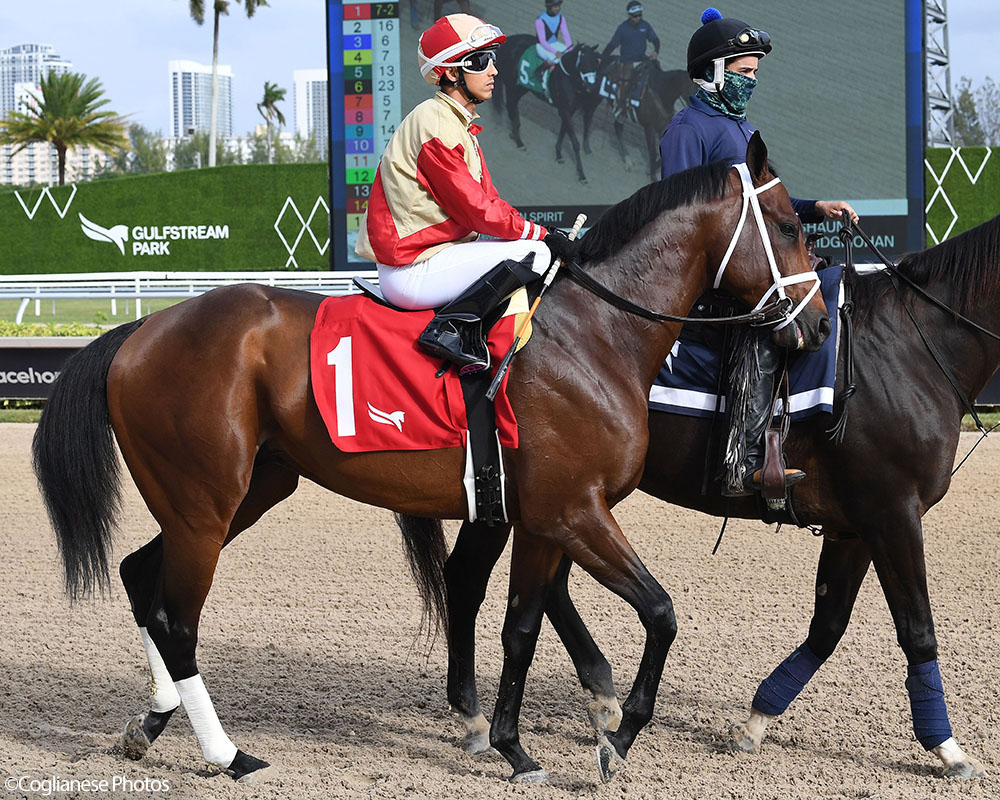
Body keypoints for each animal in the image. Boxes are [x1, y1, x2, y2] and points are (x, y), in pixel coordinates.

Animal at [33, 134, 828, 784]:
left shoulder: (544, 518)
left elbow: (521, 628)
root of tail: (141, 330)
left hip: (241, 493)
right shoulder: (574, 510)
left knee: (142, 577)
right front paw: (618, 737)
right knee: (177, 620)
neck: (594, 334)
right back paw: (228, 755)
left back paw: (151, 723)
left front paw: (514, 747)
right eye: (790, 225)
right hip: (205, 505)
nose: (819, 323)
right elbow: (660, 612)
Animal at [444, 216, 1000, 780]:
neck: (911, 346)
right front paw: (948, 748)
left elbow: (828, 626)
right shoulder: (893, 513)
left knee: (529, 586)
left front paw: (755, 722)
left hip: (552, 496)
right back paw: (487, 717)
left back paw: (590, 701)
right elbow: (917, 630)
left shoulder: (855, 527)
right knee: (471, 579)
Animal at [492, 34, 600, 181]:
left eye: (595, 62)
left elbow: (563, 132)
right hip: (511, 83)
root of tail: (508, 41)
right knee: (510, 105)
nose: (592, 86)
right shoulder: (565, 111)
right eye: (583, 63)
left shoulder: (568, 111)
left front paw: (559, 155)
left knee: (512, 105)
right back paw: (519, 141)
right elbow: (575, 142)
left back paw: (514, 134)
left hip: (522, 86)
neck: (569, 78)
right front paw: (581, 174)